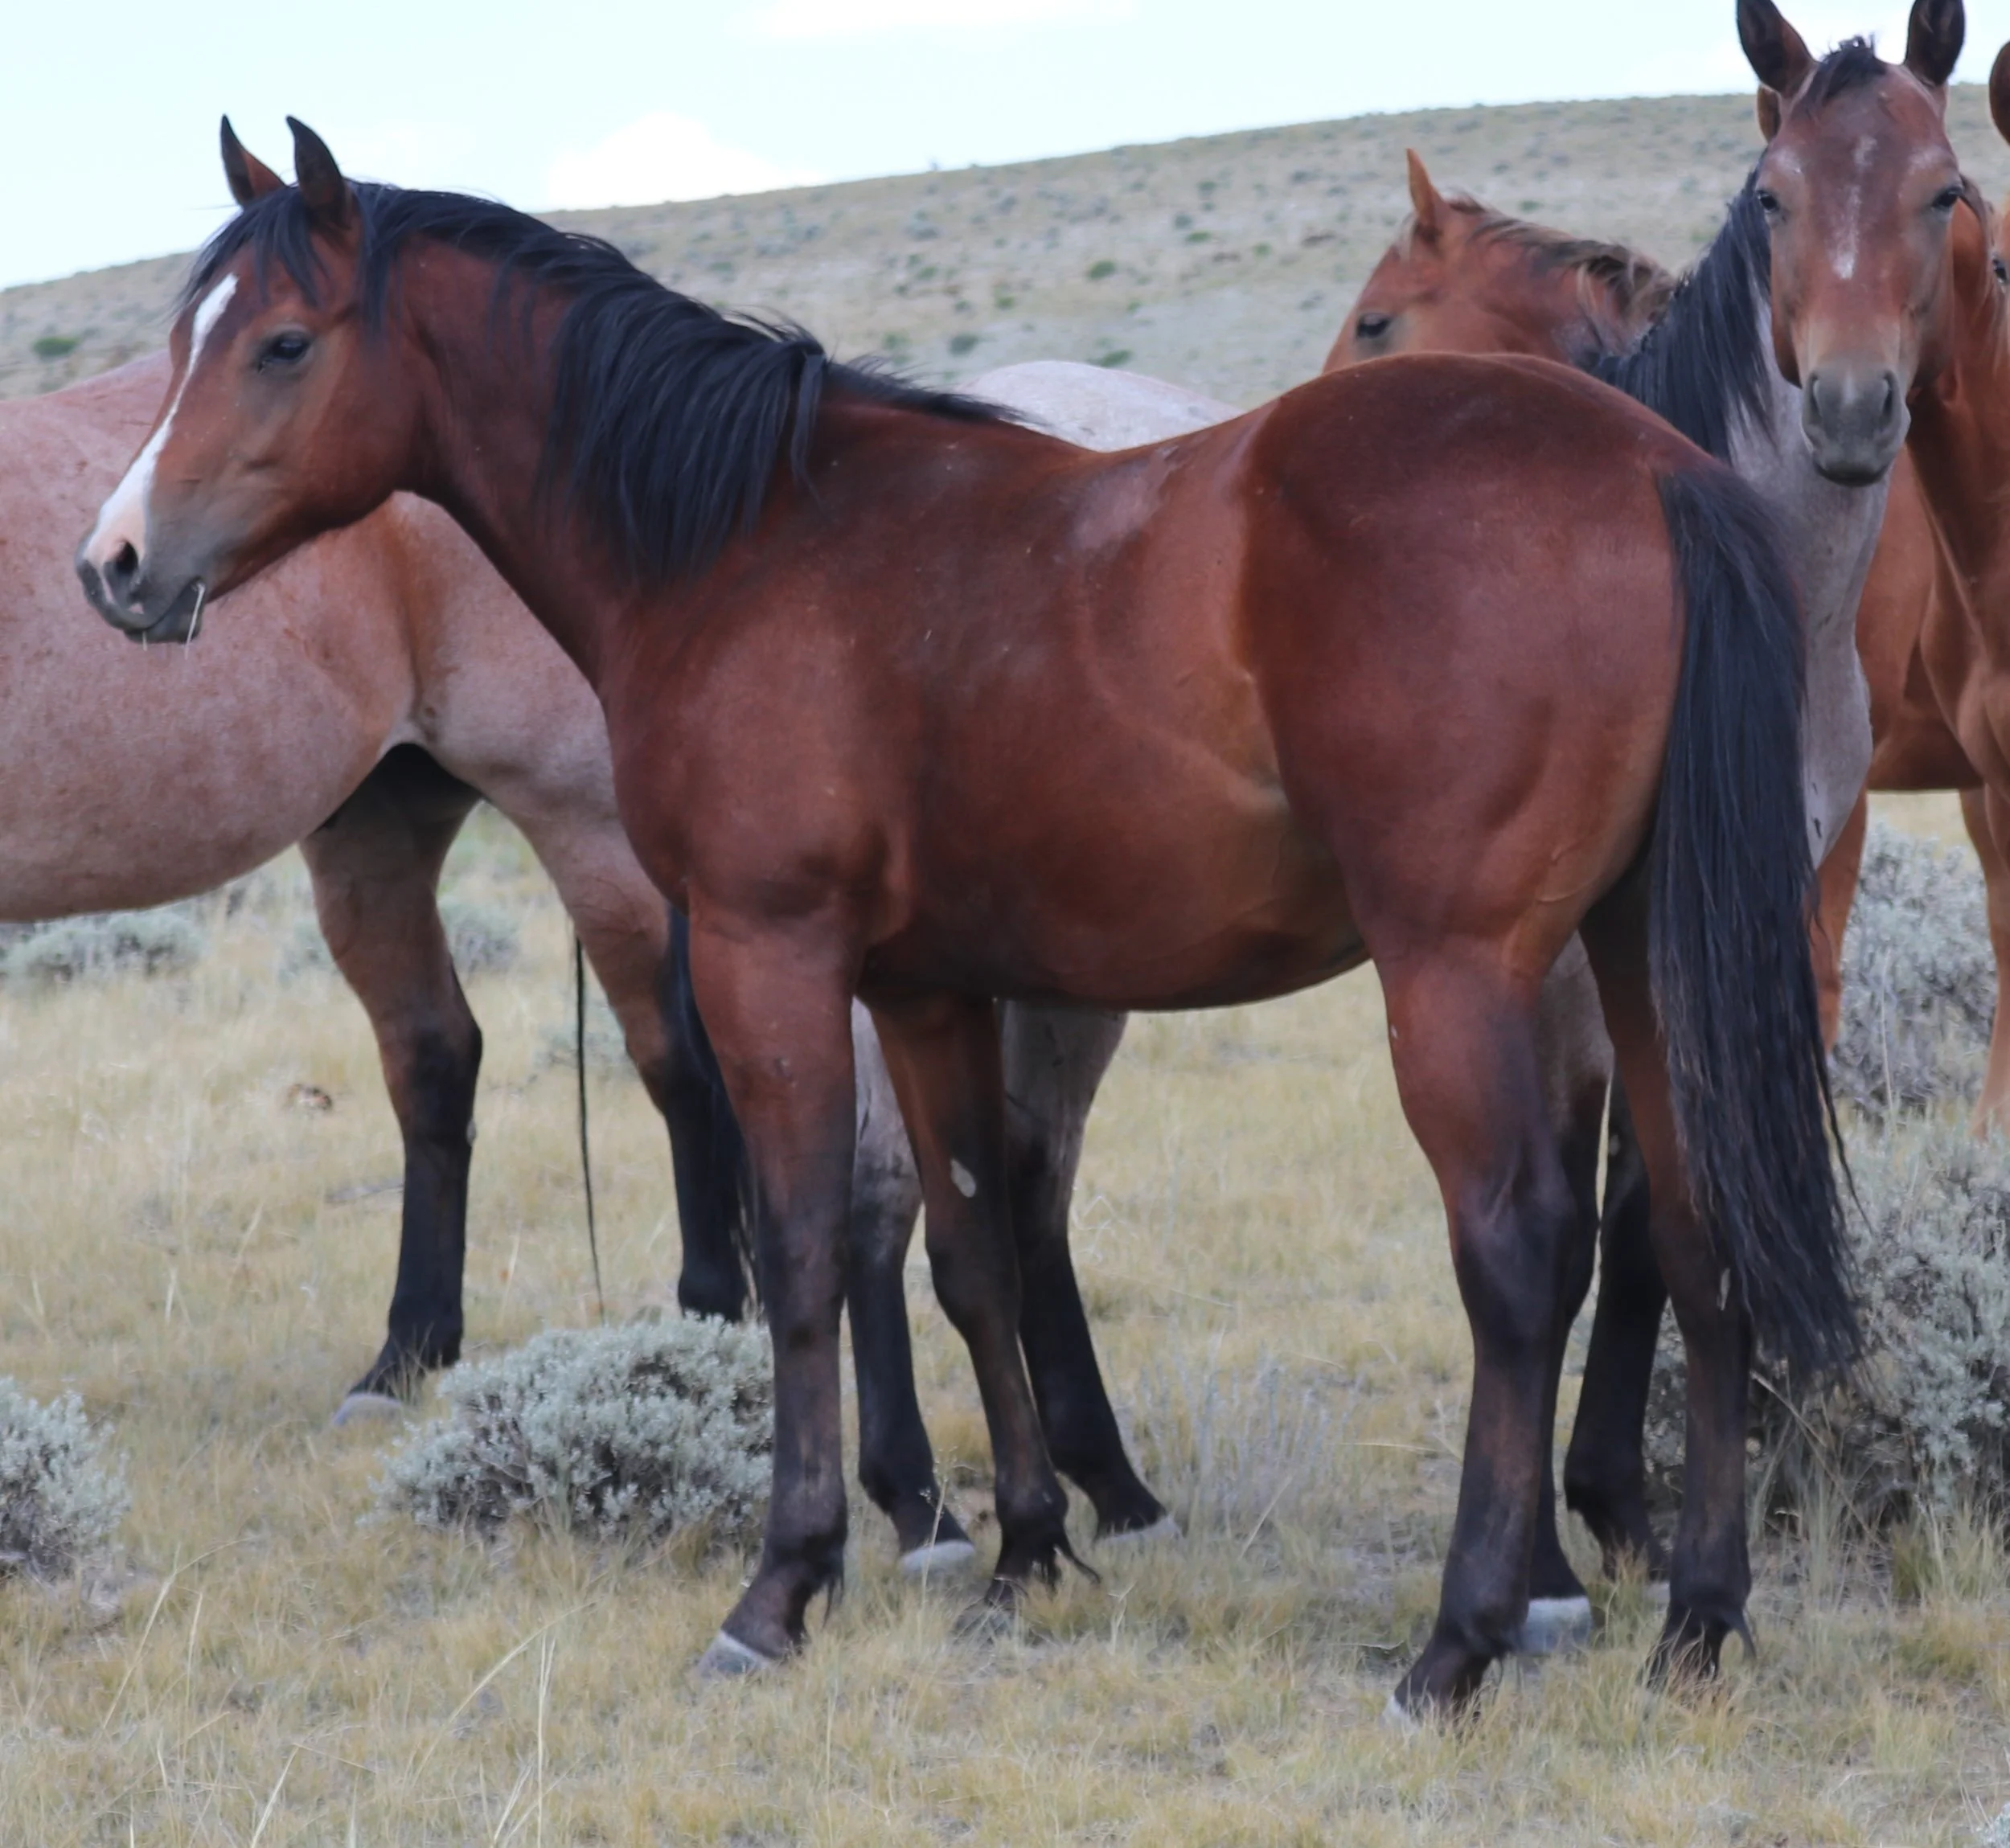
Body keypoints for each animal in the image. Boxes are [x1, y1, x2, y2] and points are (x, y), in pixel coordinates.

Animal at [77, 118, 1850, 1719]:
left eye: (284, 342)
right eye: (183, 343)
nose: (116, 563)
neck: (747, 541)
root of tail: (1649, 467)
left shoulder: (772, 958)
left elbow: (796, 1251)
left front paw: (783, 1588)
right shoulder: (929, 990)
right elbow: (973, 1250)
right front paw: (1022, 1552)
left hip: (1458, 975)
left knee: (1519, 1251)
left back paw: (1461, 1638)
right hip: (1638, 957)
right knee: (1696, 1232)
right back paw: (1699, 1620)